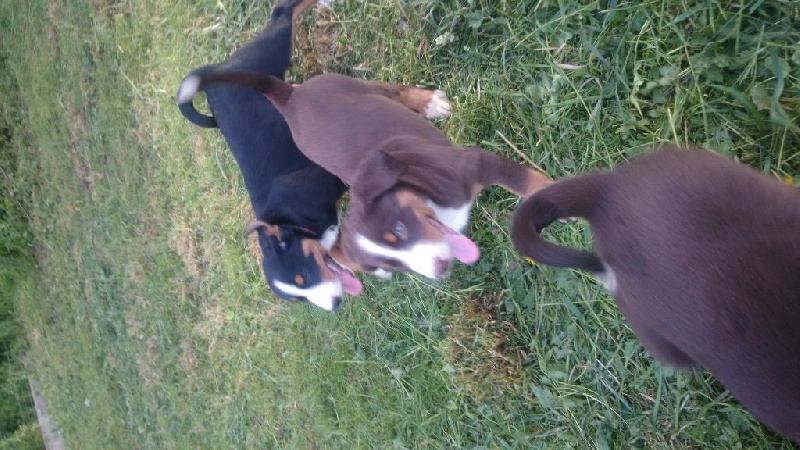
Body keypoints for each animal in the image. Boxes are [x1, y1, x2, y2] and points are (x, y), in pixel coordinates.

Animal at [176, 0, 362, 311]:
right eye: (300, 296)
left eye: (304, 274)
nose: (335, 303)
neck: (288, 217)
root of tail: (214, 73)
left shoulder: (330, 177)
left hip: (272, 50)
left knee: (282, 12)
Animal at [177, 71, 552, 280]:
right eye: (394, 264)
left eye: (399, 229)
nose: (440, 268)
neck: (428, 199)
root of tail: (291, 100)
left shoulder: (476, 163)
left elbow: (533, 186)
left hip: (358, 87)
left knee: (395, 90)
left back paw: (429, 103)